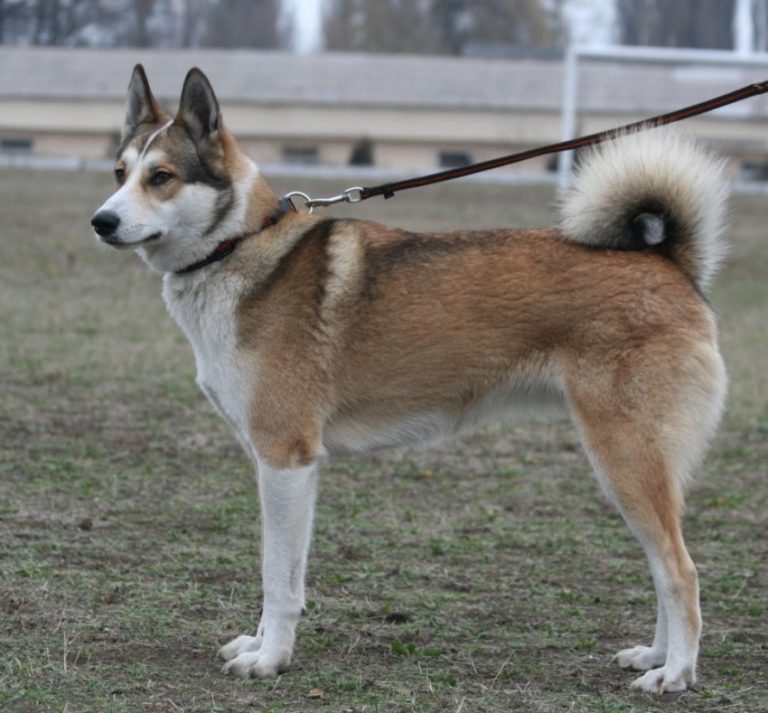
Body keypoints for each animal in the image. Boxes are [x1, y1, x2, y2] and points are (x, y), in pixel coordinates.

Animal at [90, 65, 728, 688]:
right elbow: (288, 576)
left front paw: (268, 660)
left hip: (624, 459)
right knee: (662, 566)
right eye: (120, 172)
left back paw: (675, 673)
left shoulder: (284, 460)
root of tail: (668, 262)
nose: (101, 221)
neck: (236, 248)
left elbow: (276, 577)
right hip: (634, 470)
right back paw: (653, 656)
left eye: (162, 177)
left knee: (681, 571)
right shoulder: (287, 468)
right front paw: (262, 644)